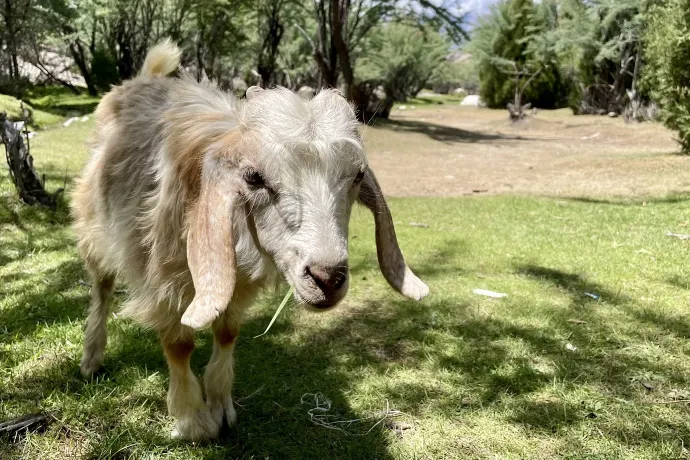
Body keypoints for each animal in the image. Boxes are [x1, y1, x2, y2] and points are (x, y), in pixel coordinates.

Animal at [68, 40, 424, 442]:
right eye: (253, 177)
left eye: (358, 175)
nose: (327, 278)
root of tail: (146, 78)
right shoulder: (162, 277)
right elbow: (179, 344)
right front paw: (192, 420)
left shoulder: (234, 282)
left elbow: (227, 332)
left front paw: (221, 407)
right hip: (95, 226)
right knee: (101, 288)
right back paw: (91, 358)